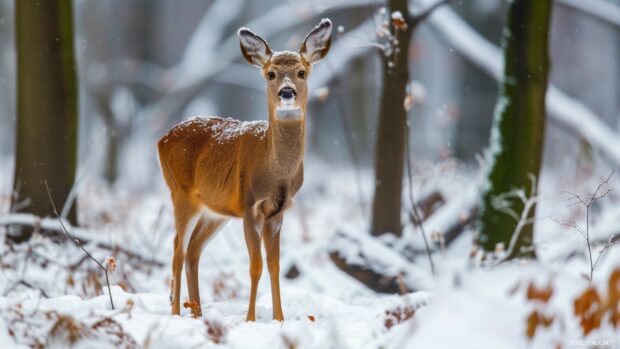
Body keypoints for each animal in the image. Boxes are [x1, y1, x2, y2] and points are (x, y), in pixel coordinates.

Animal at [160, 18, 332, 318]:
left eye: (301, 72)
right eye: (271, 74)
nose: (287, 92)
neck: (275, 171)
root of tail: (161, 140)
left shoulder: (278, 211)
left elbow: (274, 266)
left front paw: (279, 318)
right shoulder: (250, 204)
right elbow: (255, 266)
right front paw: (251, 319)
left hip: (215, 210)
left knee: (192, 250)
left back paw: (198, 313)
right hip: (180, 192)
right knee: (178, 250)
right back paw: (177, 313)